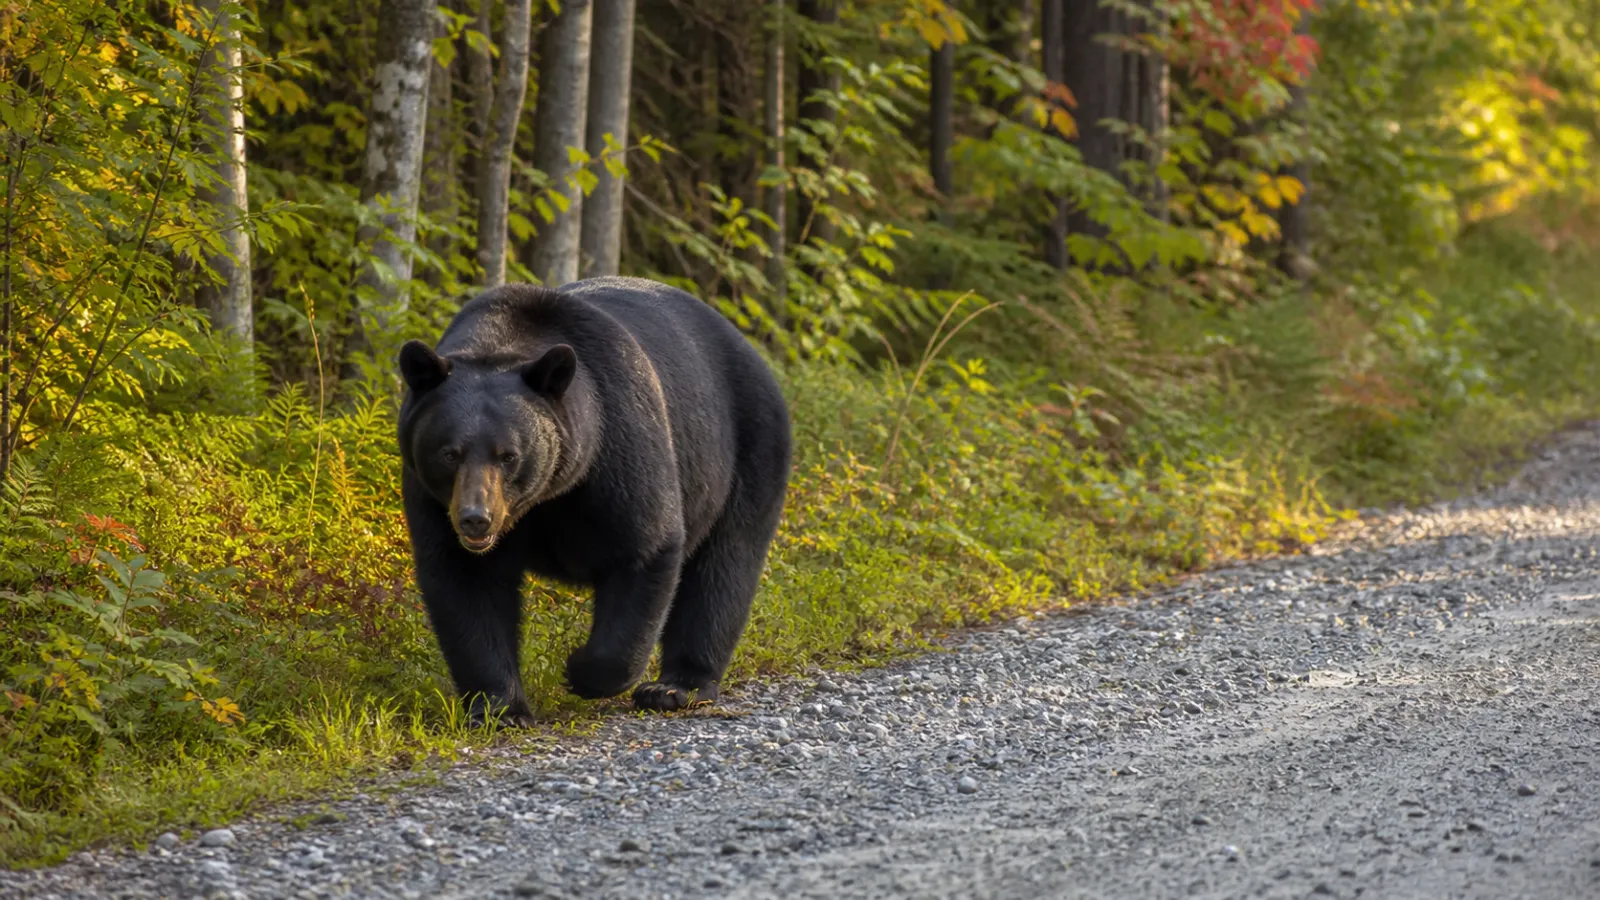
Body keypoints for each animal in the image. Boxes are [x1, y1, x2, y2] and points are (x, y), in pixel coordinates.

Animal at [395, 276, 792, 723]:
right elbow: (466, 582)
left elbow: (645, 546)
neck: (546, 499)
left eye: (508, 455)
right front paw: (501, 707)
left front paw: (581, 671)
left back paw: (676, 687)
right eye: (449, 453)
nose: (475, 518)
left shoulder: (616, 442)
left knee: (723, 569)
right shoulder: (431, 497)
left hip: (747, 449)